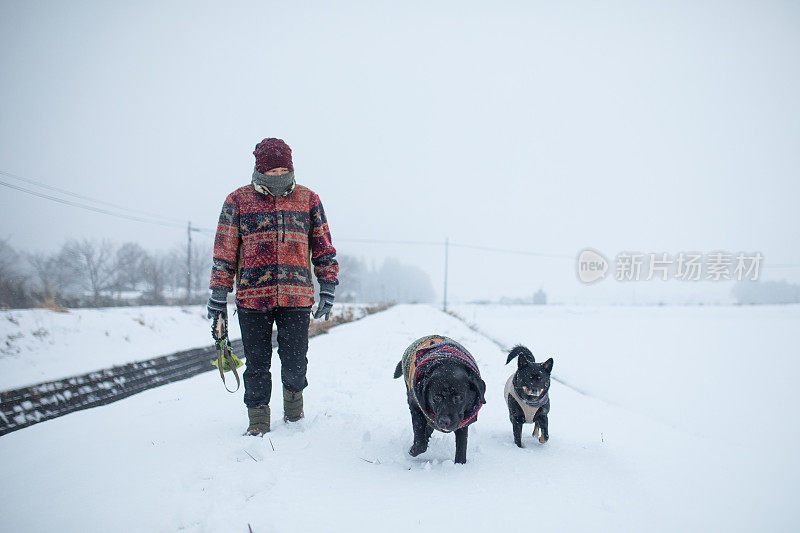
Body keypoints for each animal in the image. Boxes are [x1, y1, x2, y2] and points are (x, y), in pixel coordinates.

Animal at [394, 334, 488, 464]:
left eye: (458, 397)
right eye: (436, 397)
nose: (444, 421)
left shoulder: (465, 420)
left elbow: (462, 444)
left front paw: (460, 464)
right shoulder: (414, 405)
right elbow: (419, 436)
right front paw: (414, 449)